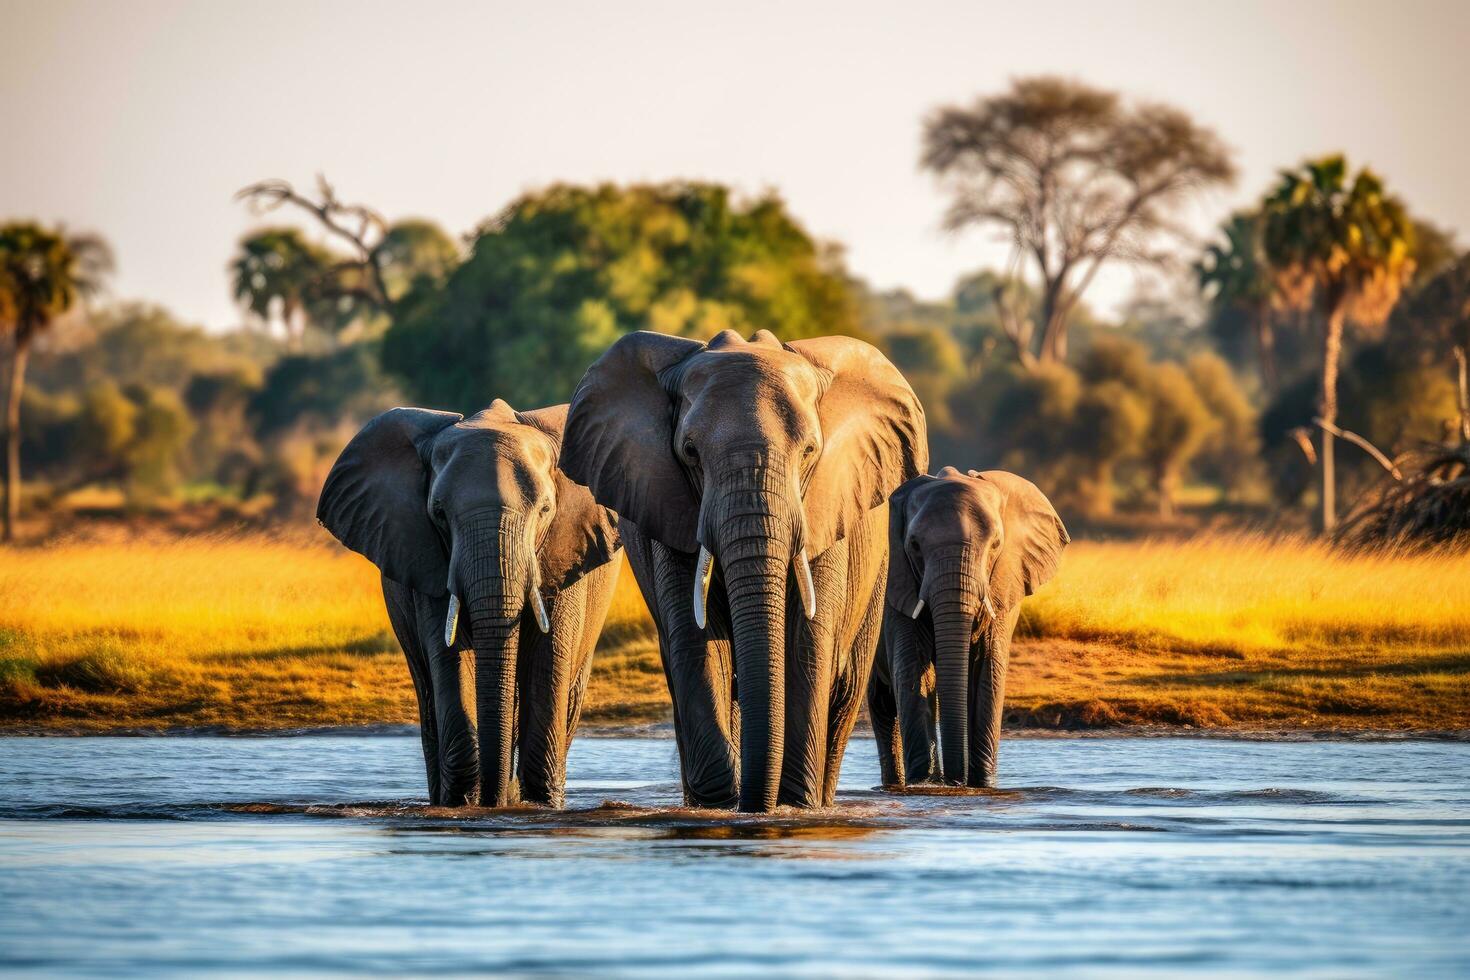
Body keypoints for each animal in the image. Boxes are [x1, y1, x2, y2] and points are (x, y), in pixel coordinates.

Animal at [316, 402, 620, 811]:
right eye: (439, 513)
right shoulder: (426, 556)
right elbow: (448, 657)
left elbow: (549, 655)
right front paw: (462, 802)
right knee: (428, 690)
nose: (495, 803)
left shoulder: (565, 551)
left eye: (545, 510)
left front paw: (539, 806)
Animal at [555, 329, 923, 811]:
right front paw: (719, 804)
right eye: (690, 452)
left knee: (845, 686)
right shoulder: (669, 505)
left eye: (810, 451)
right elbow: (696, 641)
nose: (753, 802)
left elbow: (807, 640)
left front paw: (794, 805)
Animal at [870, 467, 1070, 787]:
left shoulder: (1004, 582)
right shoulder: (895, 582)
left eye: (996, 544)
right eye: (914, 545)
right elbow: (913, 667)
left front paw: (982, 785)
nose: (955, 782)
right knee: (883, 700)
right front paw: (926, 783)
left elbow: (987, 668)